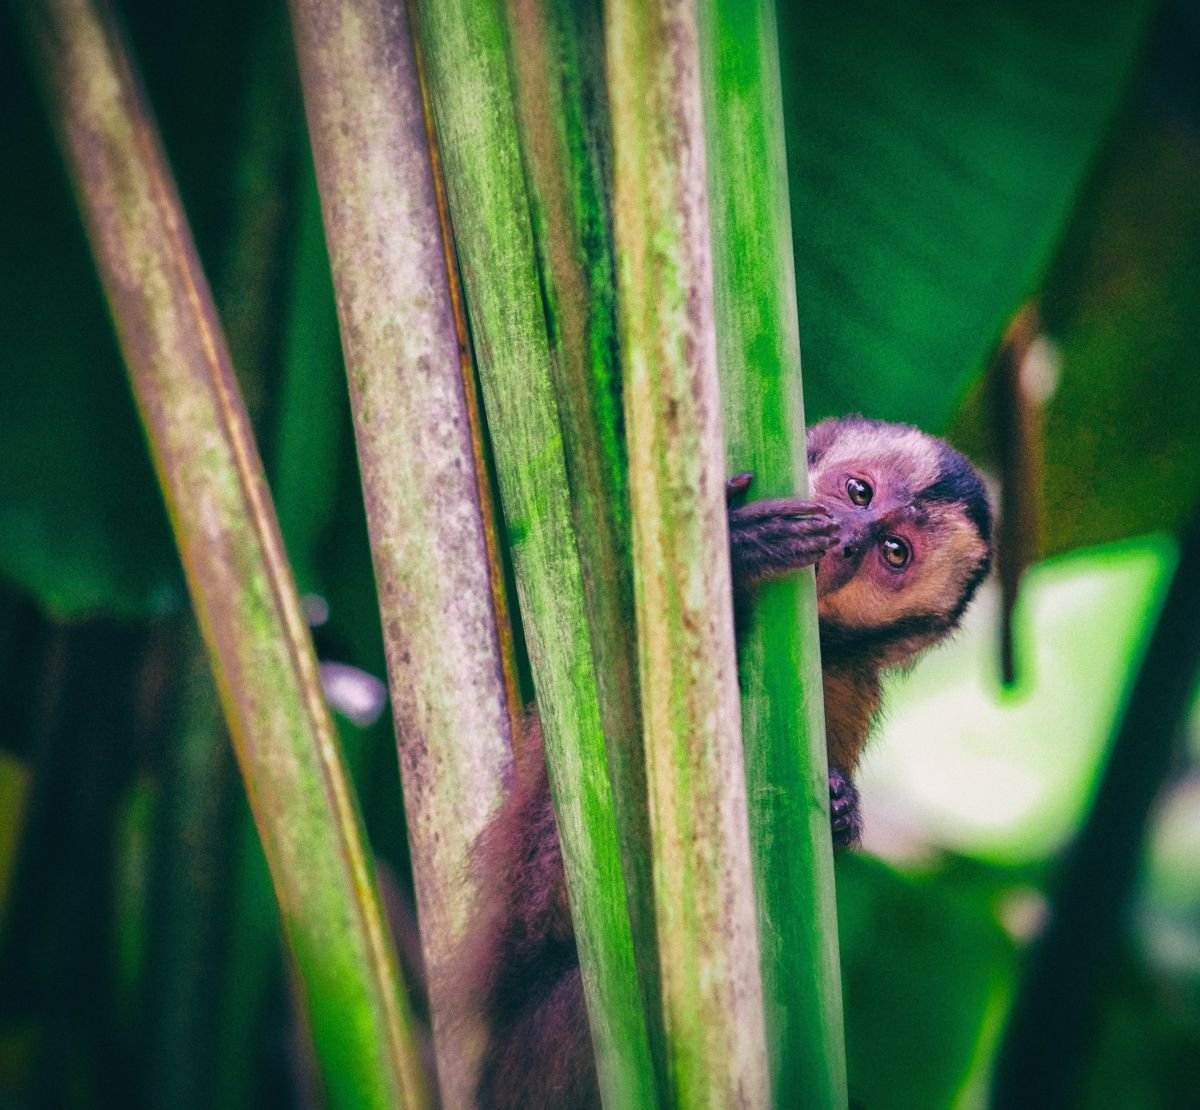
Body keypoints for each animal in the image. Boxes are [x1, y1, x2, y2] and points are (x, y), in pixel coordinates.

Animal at [466, 415, 993, 1109]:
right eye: (859, 493)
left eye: (894, 553)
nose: (849, 537)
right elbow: (554, 888)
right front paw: (740, 554)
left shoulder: (850, 686)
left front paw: (841, 810)